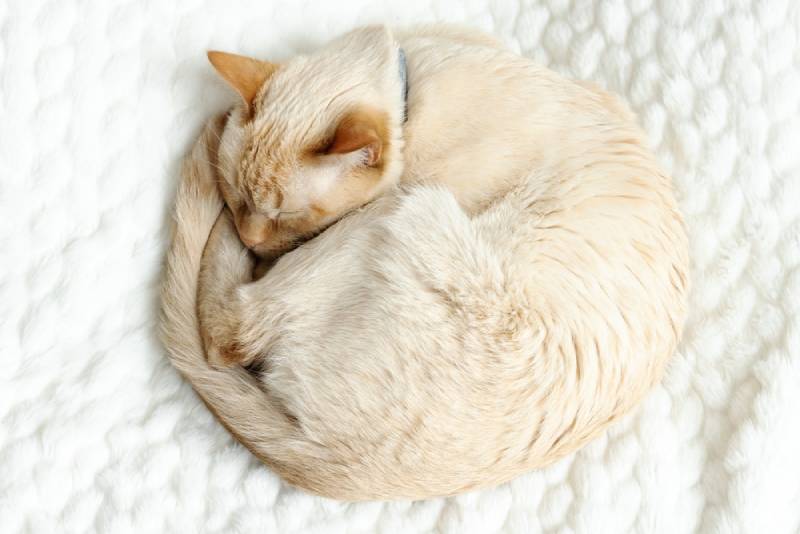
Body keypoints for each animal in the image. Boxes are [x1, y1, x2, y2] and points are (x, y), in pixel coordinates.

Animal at [161, 25, 688, 502]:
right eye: (238, 195)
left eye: (283, 216)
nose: (249, 236)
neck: (411, 89)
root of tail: (348, 467)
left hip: (403, 207)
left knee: (226, 333)